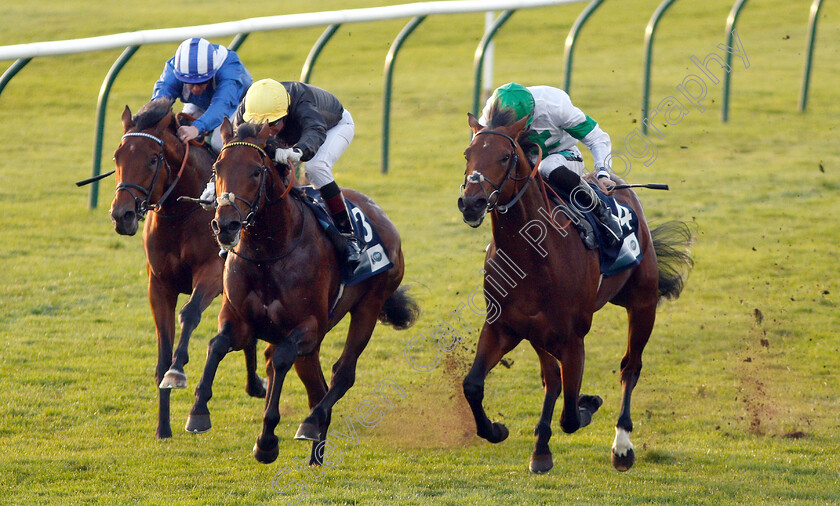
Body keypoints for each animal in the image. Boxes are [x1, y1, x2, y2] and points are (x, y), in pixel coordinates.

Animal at [107, 99, 266, 438]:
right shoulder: (159, 285)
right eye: (117, 156)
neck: (179, 213)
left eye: (153, 159)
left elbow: (190, 313)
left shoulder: (211, 273)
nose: (121, 215)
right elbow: (162, 353)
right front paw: (162, 427)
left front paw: (177, 371)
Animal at [185, 117, 418, 462]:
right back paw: (316, 451)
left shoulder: (309, 326)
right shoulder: (239, 318)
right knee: (313, 383)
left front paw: (267, 440)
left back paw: (311, 424)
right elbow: (217, 345)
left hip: (368, 306)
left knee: (342, 374)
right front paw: (198, 411)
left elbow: (282, 358)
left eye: (256, 171)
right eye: (217, 168)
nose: (225, 225)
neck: (268, 251)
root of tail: (381, 215)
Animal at [456, 109, 692, 470]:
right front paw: (499, 430)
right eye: (468, 154)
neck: (532, 255)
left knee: (630, 366)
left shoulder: (572, 337)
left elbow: (570, 414)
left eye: (505, 156)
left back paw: (622, 445)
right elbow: (473, 385)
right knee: (552, 378)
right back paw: (542, 444)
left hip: (643, 302)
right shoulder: (505, 326)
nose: (472, 202)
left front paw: (587, 404)